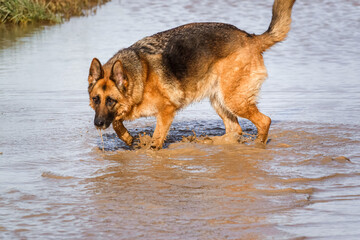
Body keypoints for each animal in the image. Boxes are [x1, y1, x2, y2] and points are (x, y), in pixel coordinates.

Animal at [87, 0, 296, 150]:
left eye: (111, 100)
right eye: (96, 99)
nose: (97, 123)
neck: (140, 75)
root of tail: (251, 38)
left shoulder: (166, 111)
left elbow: (156, 139)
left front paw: (150, 151)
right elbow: (117, 123)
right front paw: (129, 139)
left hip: (234, 99)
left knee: (264, 121)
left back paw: (257, 146)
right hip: (219, 99)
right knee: (235, 130)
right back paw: (209, 142)